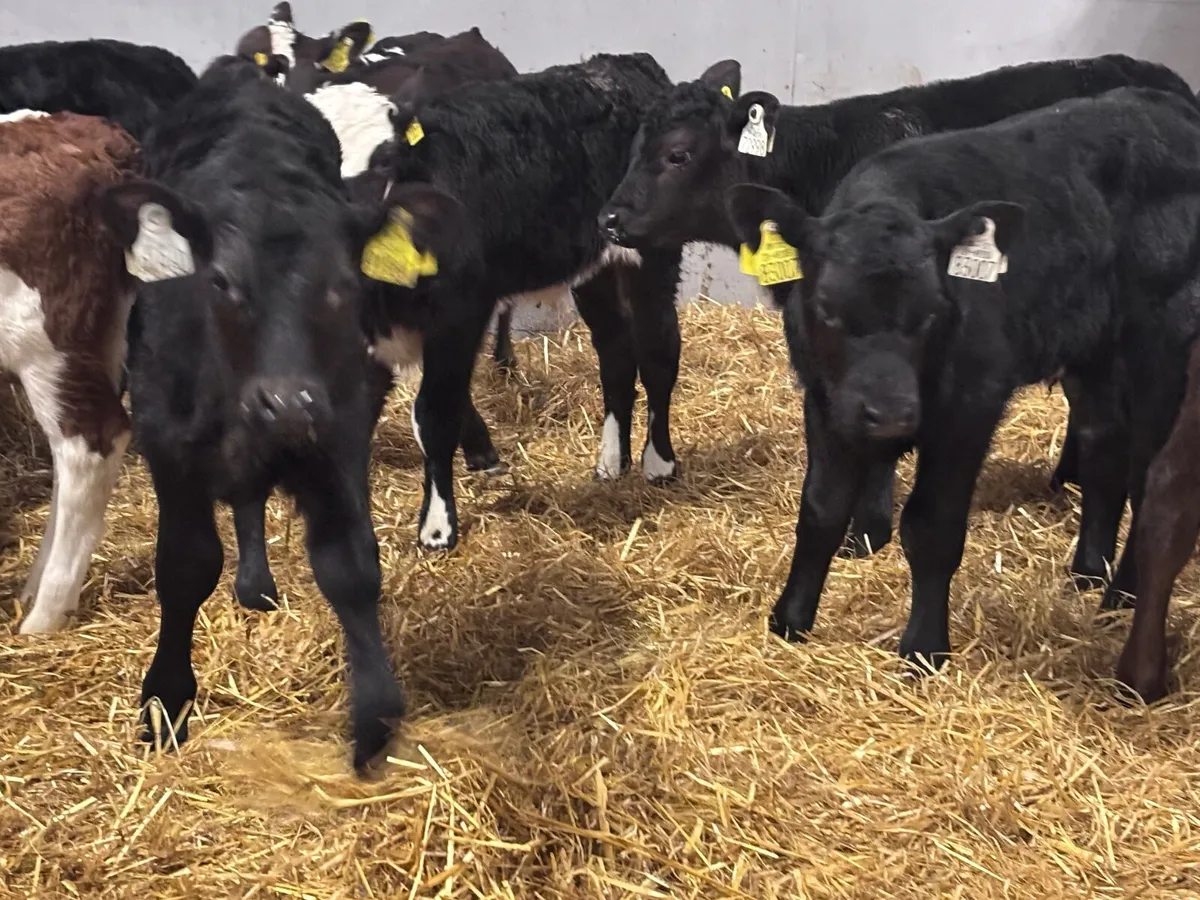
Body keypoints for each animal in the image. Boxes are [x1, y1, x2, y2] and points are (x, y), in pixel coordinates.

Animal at [95, 56, 463, 770]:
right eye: (219, 282)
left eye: (345, 284)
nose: (287, 401)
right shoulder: (167, 440)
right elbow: (184, 565)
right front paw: (165, 700)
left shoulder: (342, 425)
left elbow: (351, 565)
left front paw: (375, 715)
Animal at [350, 52, 680, 553]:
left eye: (383, 163)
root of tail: (624, 65)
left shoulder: (460, 313)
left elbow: (435, 414)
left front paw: (437, 529)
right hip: (595, 273)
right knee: (617, 356)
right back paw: (611, 462)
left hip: (653, 260)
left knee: (659, 352)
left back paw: (659, 463)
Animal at [723, 86, 1200, 681]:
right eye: (828, 309)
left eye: (932, 312)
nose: (891, 414)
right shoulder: (825, 397)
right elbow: (821, 509)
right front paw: (790, 620)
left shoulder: (969, 404)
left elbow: (931, 526)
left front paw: (924, 648)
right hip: (1095, 352)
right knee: (1103, 448)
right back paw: (1089, 572)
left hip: (1164, 352)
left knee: (1149, 477)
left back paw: (1122, 596)